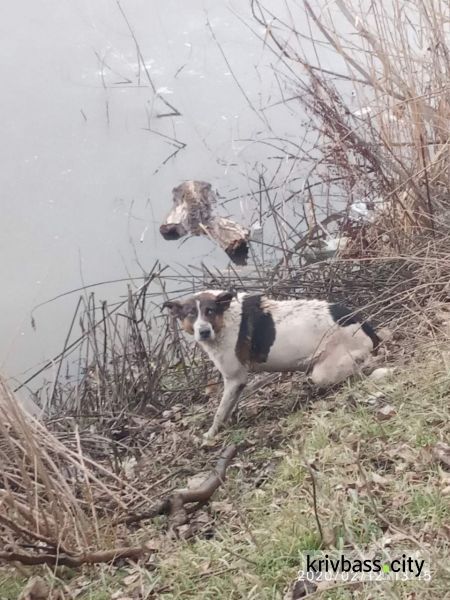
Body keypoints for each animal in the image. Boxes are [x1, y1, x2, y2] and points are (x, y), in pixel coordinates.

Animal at [163, 288, 380, 438]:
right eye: (191, 314)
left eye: (210, 311)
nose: (204, 331)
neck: (225, 319)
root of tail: (363, 324)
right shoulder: (236, 384)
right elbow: (228, 407)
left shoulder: (234, 378)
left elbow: (219, 411)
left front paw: (210, 434)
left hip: (324, 372)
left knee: (362, 363)